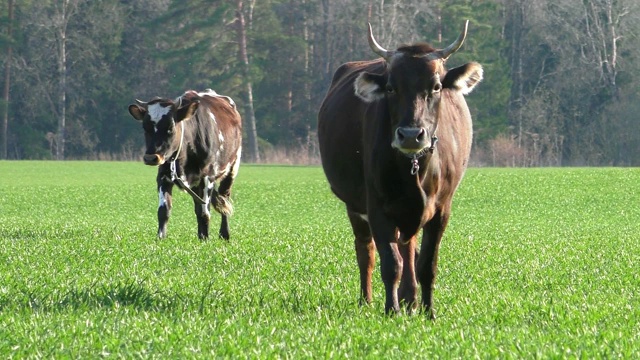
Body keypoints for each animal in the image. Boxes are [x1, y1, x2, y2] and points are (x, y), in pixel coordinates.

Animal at [129, 88, 242, 239]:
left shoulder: (207, 177)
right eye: (145, 127)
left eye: (170, 127)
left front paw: (205, 240)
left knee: (224, 199)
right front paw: (160, 238)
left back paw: (224, 234)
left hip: (232, 169)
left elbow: (204, 213)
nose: (151, 158)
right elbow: (163, 211)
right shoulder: (164, 175)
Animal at [318, 21, 482, 316]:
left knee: (409, 250)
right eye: (391, 88)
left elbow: (426, 264)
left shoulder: (441, 210)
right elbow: (390, 263)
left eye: (436, 86)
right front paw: (391, 310)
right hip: (355, 206)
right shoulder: (377, 208)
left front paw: (428, 311)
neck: (413, 170)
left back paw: (411, 299)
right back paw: (368, 299)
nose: (410, 135)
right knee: (366, 252)